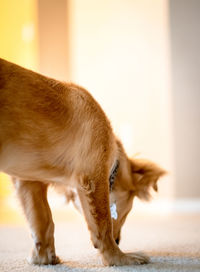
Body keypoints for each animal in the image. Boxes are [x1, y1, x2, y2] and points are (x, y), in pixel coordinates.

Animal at [0, 59, 166, 266]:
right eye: (125, 212)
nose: (119, 240)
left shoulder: (28, 182)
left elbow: (43, 221)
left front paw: (43, 258)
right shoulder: (93, 177)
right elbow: (103, 226)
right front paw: (118, 258)